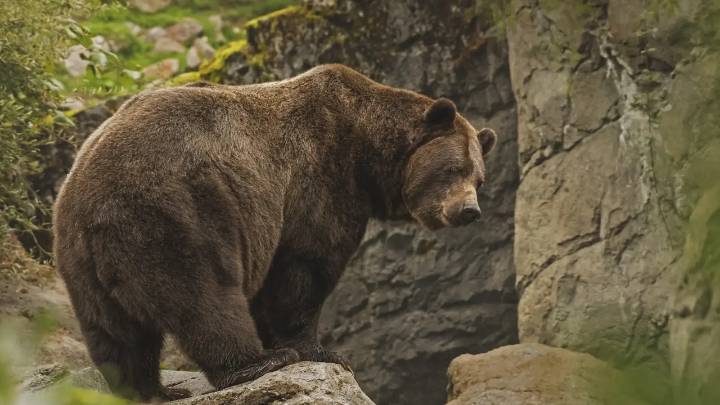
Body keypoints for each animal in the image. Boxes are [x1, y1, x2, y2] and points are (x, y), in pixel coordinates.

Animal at [52, 64, 497, 401]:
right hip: (175, 210)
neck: (367, 153)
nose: (469, 211)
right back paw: (255, 363)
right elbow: (304, 268)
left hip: (79, 256)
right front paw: (320, 351)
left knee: (115, 331)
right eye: (454, 169)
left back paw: (148, 389)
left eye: (479, 177)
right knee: (204, 294)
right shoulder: (318, 179)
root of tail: (92, 202)